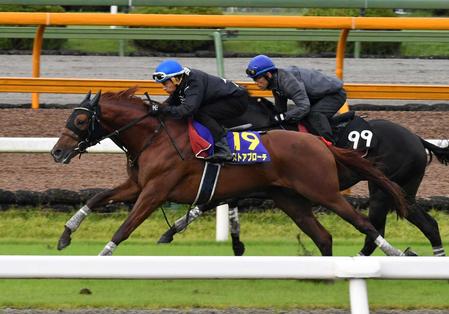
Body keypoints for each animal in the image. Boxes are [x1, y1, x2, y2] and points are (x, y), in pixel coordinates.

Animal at [50, 87, 412, 255]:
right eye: (70, 117)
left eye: (79, 120)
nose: (57, 152)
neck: (154, 136)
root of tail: (319, 143)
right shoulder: (137, 184)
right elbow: (96, 198)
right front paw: (65, 235)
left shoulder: (156, 191)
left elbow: (126, 226)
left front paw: (103, 253)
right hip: (290, 199)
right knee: (323, 236)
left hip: (322, 190)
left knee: (363, 222)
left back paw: (394, 251)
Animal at [159, 96, 446, 258]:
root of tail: (417, 138)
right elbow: (215, 205)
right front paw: (172, 232)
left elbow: (211, 203)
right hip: (403, 189)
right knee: (426, 222)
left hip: (381, 190)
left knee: (377, 226)